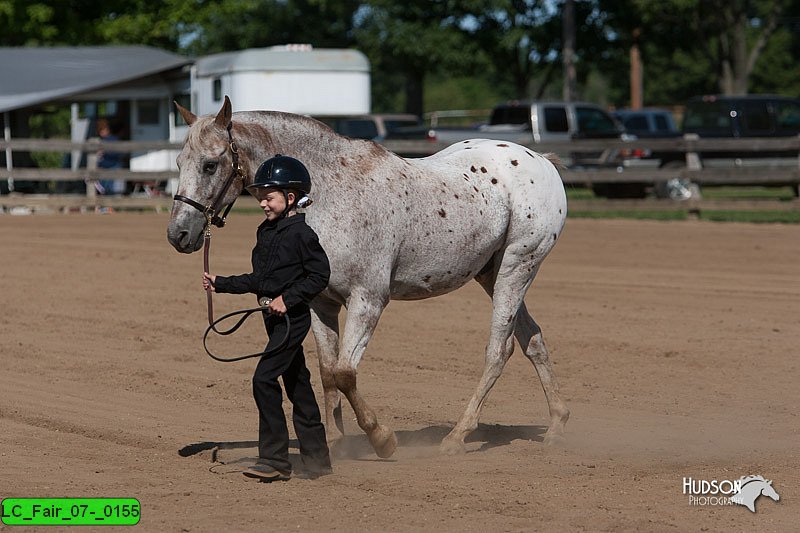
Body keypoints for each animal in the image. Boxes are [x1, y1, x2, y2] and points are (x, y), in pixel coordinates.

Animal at [167, 96, 568, 458]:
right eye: (179, 161)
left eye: (210, 164)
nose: (178, 234)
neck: (329, 194)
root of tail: (540, 162)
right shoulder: (319, 303)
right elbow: (328, 372)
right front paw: (335, 443)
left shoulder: (368, 300)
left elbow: (346, 373)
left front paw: (381, 438)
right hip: (491, 273)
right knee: (532, 339)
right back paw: (556, 426)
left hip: (517, 268)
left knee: (499, 350)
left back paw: (457, 437)